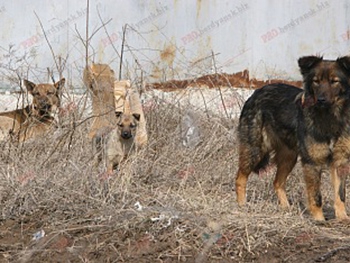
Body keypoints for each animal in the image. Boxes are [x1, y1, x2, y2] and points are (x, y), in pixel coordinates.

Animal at [237, 56, 350, 222]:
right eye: (316, 81)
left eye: (334, 81)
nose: (321, 100)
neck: (328, 117)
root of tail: (255, 93)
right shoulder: (312, 163)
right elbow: (316, 196)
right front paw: (319, 220)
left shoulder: (339, 161)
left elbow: (340, 195)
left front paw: (343, 218)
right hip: (254, 150)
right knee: (240, 177)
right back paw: (241, 205)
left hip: (289, 157)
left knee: (277, 183)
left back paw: (286, 208)